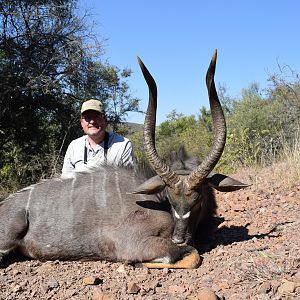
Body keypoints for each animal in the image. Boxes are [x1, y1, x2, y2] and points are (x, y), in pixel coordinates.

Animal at [0, 50, 248, 268]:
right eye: (170, 199)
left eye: (199, 200)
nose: (179, 239)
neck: (156, 201)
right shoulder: (135, 243)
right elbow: (192, 256)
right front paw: (136, 262)